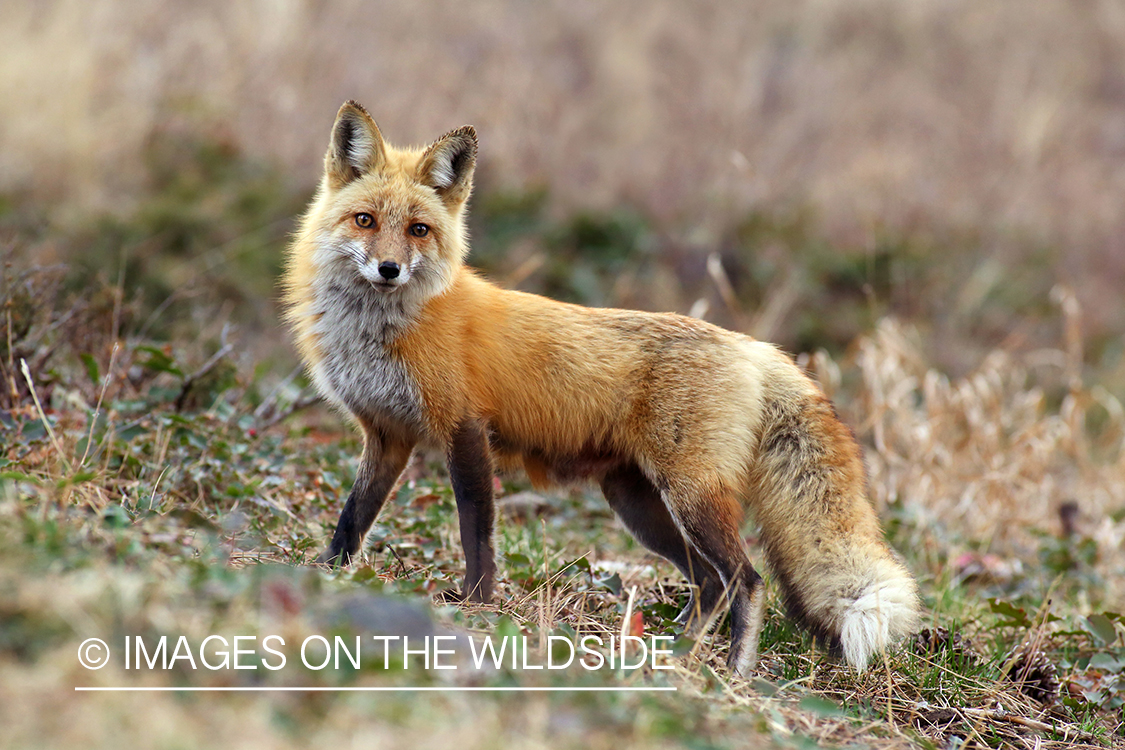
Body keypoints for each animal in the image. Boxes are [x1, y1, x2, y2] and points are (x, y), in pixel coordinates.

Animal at [282, 100, 921, 676]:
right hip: (638, 504)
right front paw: (324, 572)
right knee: (709, 583)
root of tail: (755, 347)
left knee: (746, 579)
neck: (384, 328)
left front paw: (477, 605)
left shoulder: (464, 429)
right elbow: (353, 516)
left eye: (419, 230)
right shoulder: (388, 434)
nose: (389, 269)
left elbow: (476, 531)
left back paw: (732, 672)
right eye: (365, 221)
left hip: (689, 497)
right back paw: (673, 656)